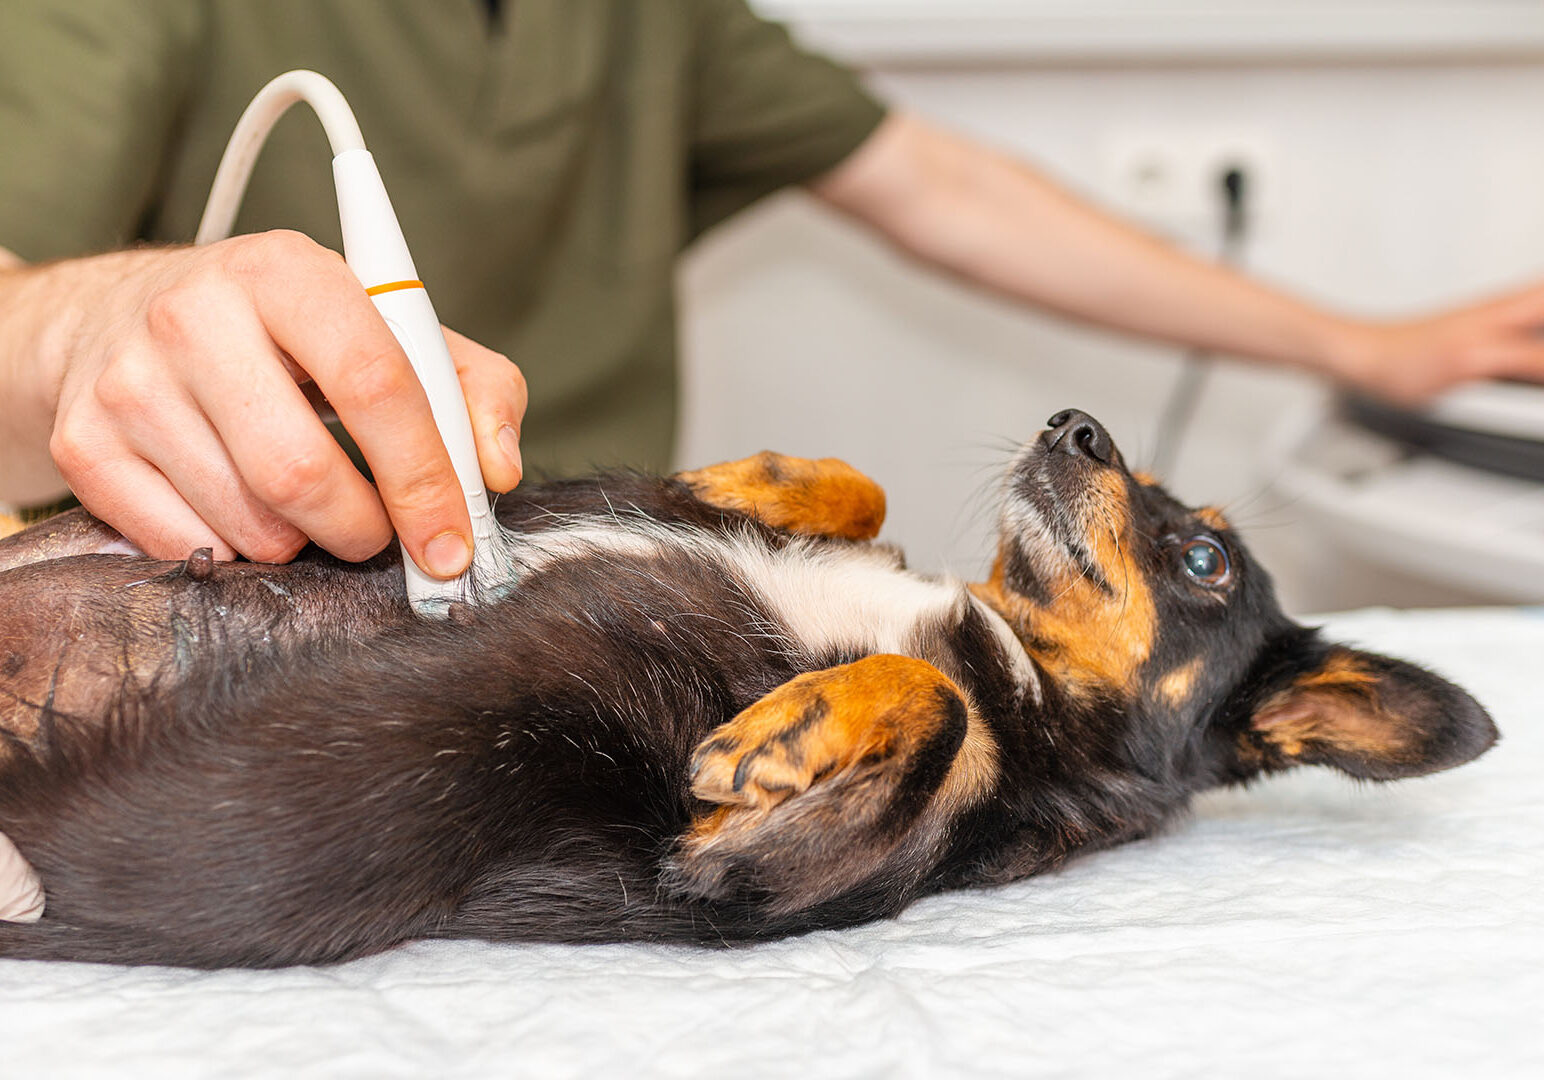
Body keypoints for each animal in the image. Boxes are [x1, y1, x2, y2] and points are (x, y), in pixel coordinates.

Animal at [0, 410, 1500, 970]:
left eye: (1202, 557)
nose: (1075, 424)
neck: (1013, 654)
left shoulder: (738, 884)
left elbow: (935, 711)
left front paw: (782, 733)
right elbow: (862, 495)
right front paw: (755, 481)